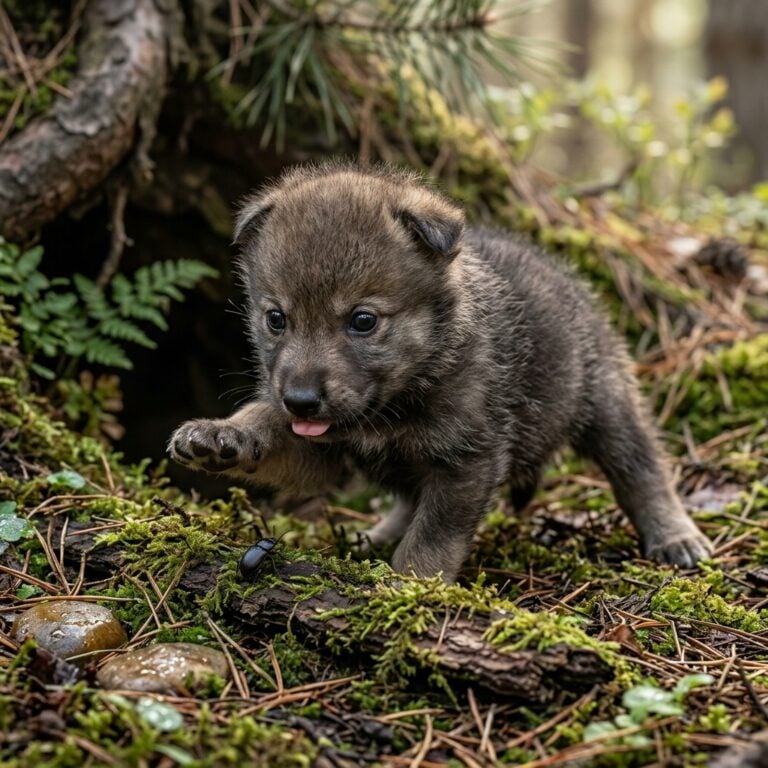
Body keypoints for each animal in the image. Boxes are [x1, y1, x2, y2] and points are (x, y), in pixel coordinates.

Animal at [169, 164, 712, 582]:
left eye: (362, 321)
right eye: (276, 319)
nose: (300, 400)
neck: (394, 404)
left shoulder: (468, 460)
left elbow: (434, 534)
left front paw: (410, 587)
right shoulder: (321, 450)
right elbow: (266, 424)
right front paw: (223, 436)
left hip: (607, 399)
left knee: (641, 468)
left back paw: (676, 535)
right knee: (408, 498)